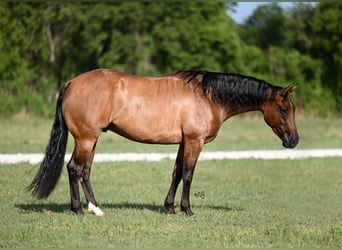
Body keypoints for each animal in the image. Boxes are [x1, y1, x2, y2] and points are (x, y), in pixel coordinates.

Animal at [28, 69, 298, 216]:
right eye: (284, 109)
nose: (294, 141)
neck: (208, 96)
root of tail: (71, 83)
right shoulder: (194, 141)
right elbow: (188, 175)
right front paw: (187, 209)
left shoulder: (183, 142)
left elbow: (176, 173)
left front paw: (169, 207)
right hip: (85, 139)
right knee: (74, 169)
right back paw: (79, 209)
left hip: (91, 140)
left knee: (85, 171)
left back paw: (96, 208)